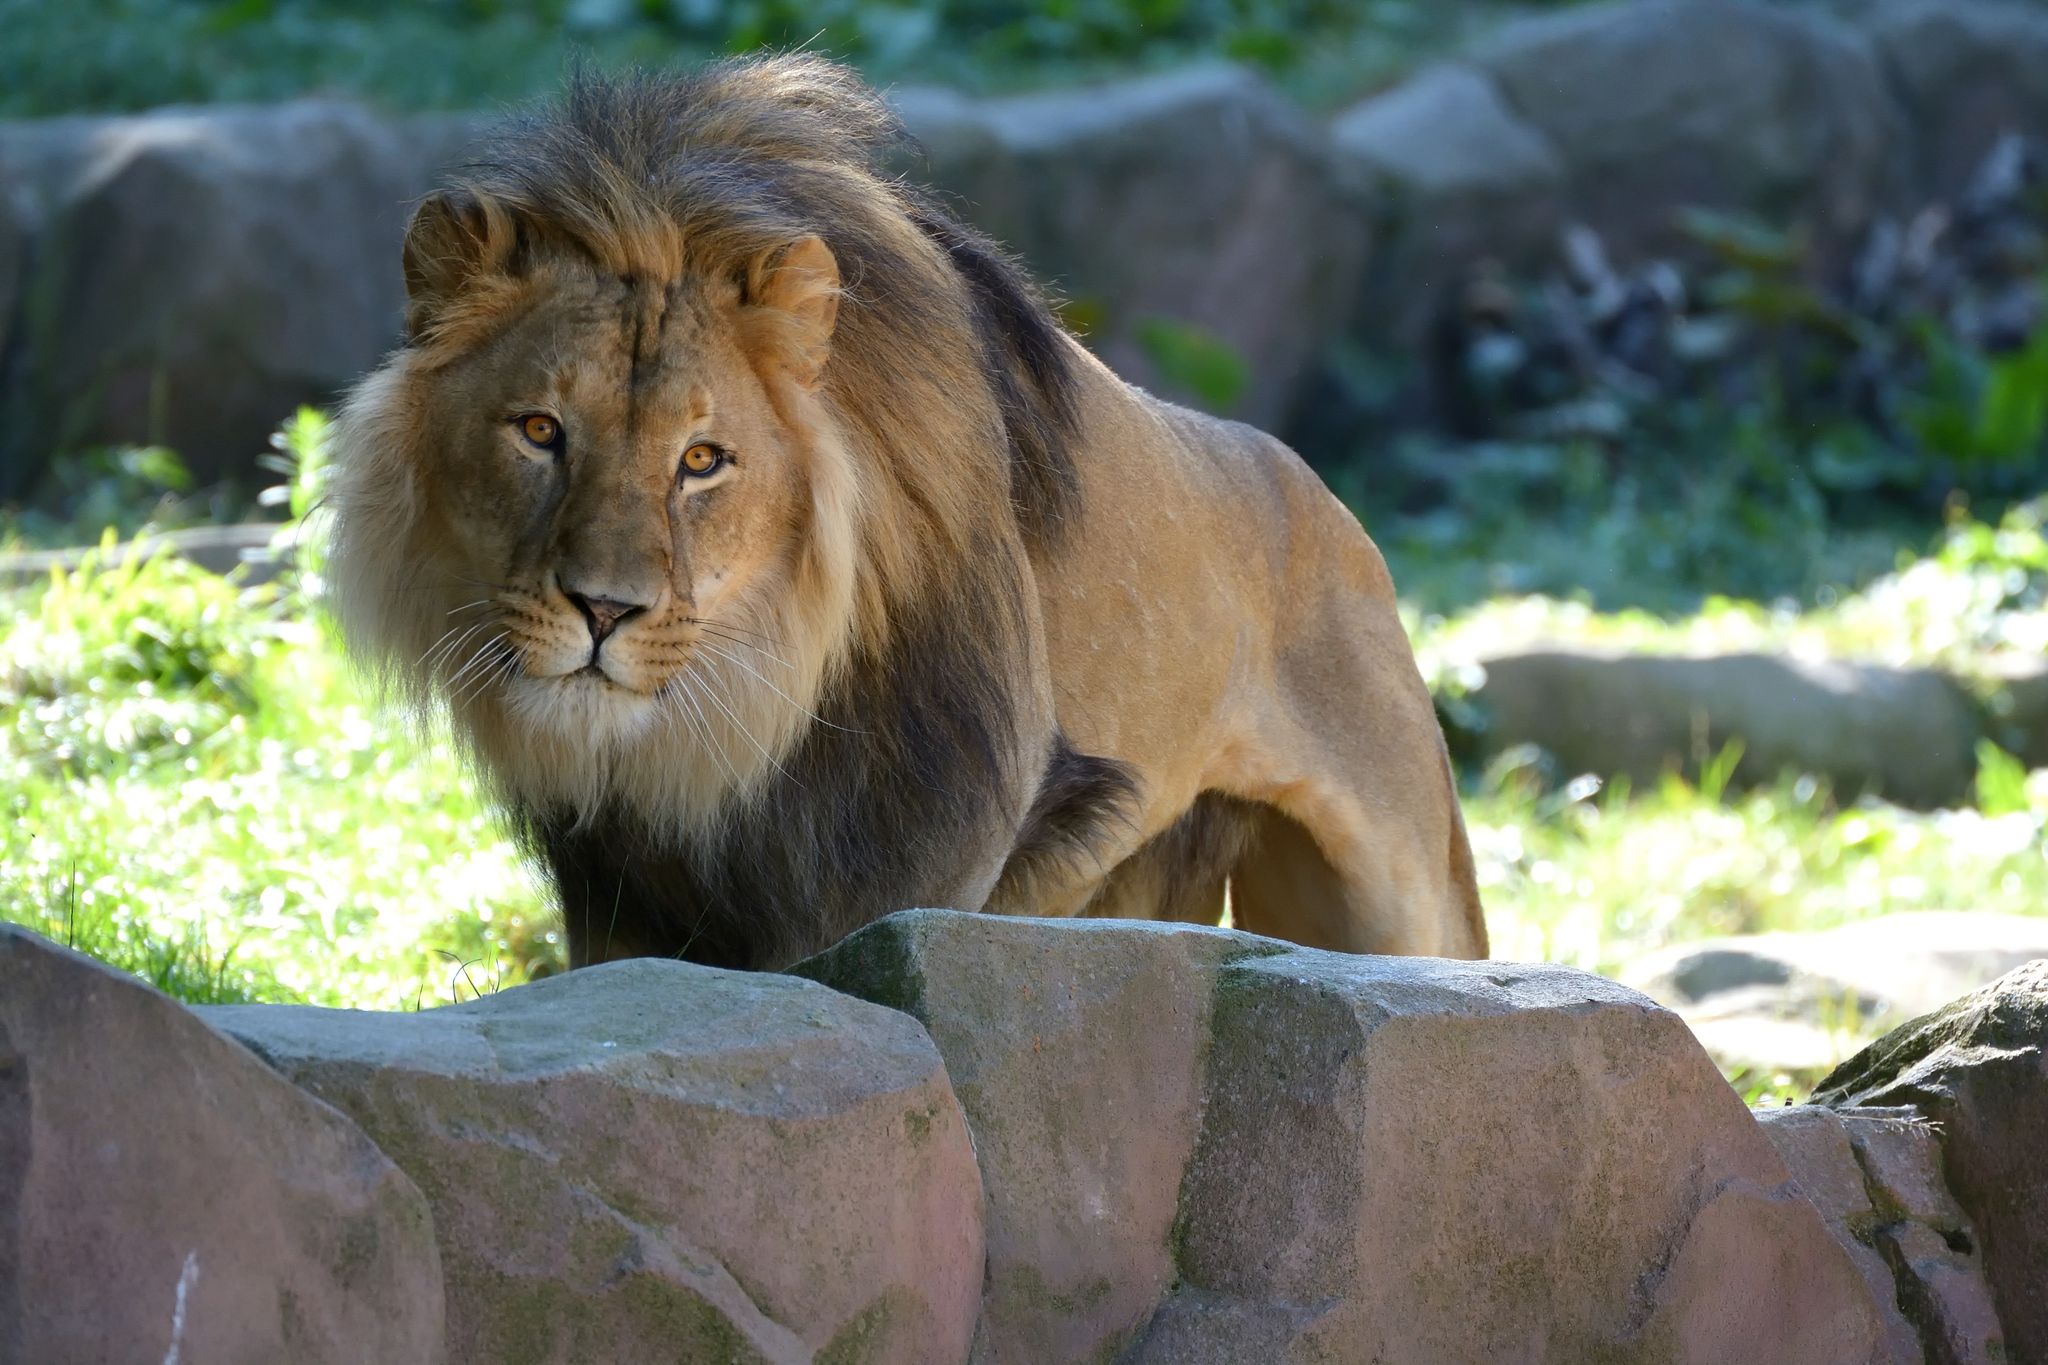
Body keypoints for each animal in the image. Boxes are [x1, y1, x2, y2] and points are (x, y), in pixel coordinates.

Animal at [327, 56, 1488, 971]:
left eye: (702, 461)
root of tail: (1317, 493)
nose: (604, 612)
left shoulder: (944, 847)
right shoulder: (617, 891)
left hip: (1405, 890)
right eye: (539, 431)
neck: (738, 726)